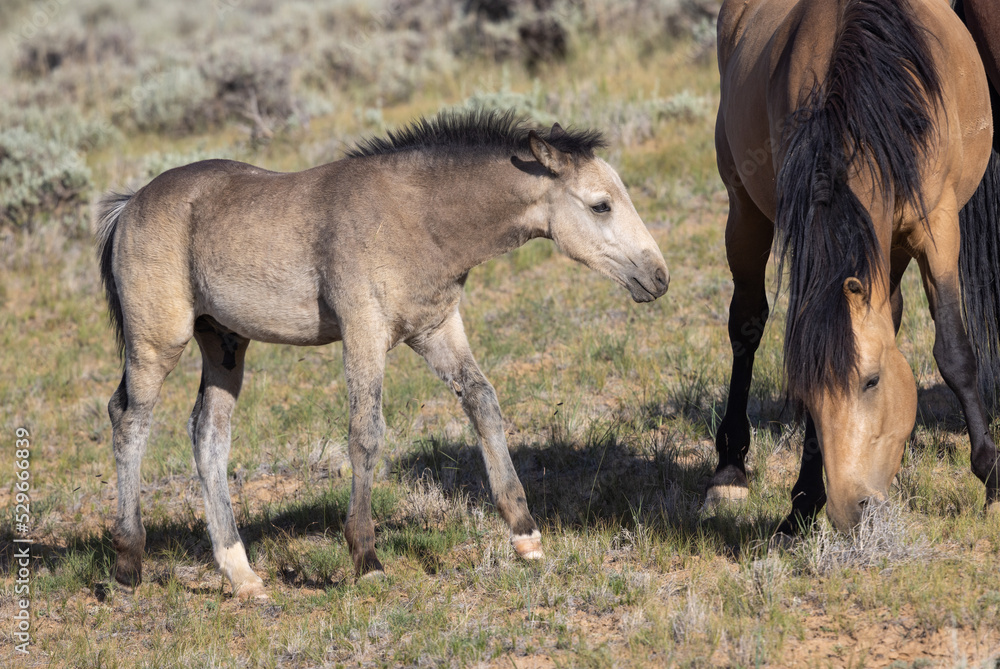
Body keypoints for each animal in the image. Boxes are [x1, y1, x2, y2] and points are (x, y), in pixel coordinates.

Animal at [96, 109, 669, 599]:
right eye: (601, 204)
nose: (659, 276)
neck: (416, 217)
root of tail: (130, 205)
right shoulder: (364, 333)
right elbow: (366, 435)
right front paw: (366, 557)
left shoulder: (436, 329)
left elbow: (483, 403)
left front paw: (524, 535)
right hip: (157, 342)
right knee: (129, 419)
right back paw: (127, 565)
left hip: (224, 344)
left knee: (208, 433)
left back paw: (242, 574)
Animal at [710, 0, 999, 537]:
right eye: (805, 395)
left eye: (872, 381)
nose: (851, 509)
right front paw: (804, 500)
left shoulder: (938, 226)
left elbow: (955, 352)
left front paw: (992, 479)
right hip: (744, 209)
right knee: (746, 325)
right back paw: (729, 470)